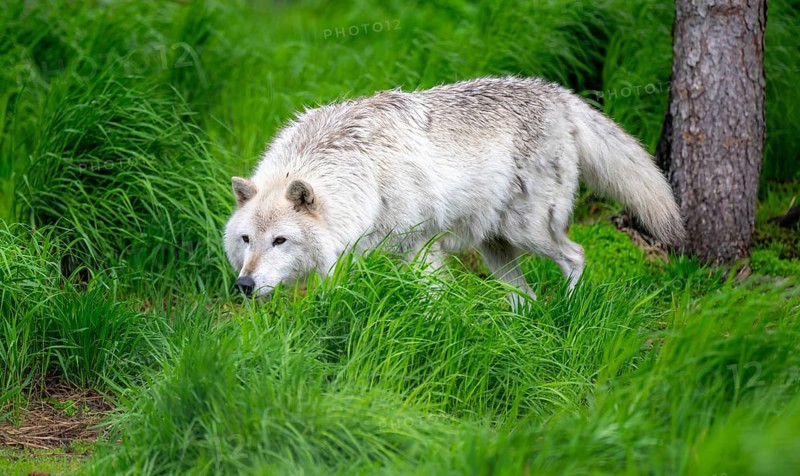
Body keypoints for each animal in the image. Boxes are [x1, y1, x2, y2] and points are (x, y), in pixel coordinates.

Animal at [224, 76, 685, 302]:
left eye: (280, 240)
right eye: (247, 240)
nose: (243, 285)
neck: (364, 175)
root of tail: (558, 94)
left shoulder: (421, 248)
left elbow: (434, 301)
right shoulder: (354, 256)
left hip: (528, 233)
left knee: (576, 255)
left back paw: (569, 313)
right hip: (496, 250)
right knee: (527, 296)